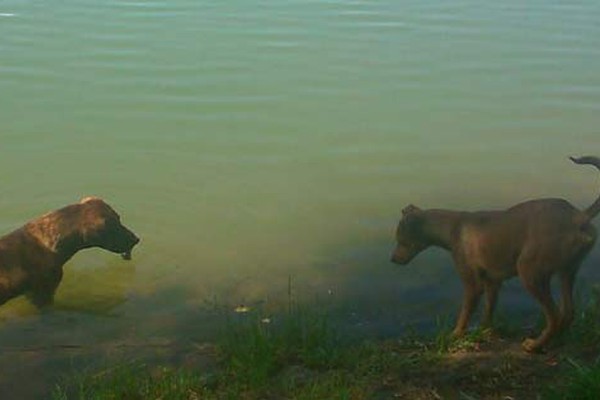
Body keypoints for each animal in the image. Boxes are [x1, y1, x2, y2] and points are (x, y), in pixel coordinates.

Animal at [392, 156, 596, 354]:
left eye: (401, 240)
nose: (392, 259)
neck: (452, 227)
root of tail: (579, 217)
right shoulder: (492, 283)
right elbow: (488, 312)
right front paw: (484, 332)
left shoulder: (473, 285)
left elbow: (464, 314)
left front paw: (455, 335)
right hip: (567, 272)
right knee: (567, 313)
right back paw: (553, 341)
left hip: (530, 273)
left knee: (554, 317)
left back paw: (535, 346)